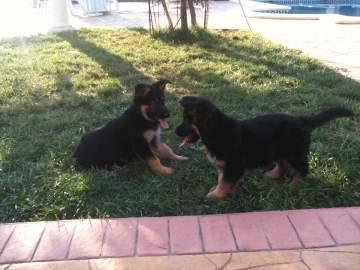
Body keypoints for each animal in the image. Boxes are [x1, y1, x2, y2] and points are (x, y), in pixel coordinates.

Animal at [176, 96, 352, 199]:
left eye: (186, 120)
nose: (175, 131)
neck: (216, 130)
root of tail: (303, 120)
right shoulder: (224, 167)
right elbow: (222, 180)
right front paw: (218, 190)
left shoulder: (233, 167)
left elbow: (225, 182)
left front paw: (216, 195)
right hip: (279, 150)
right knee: (282, 165)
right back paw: (273, 175)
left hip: (295, 153)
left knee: (303, 169)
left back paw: (294, 186)